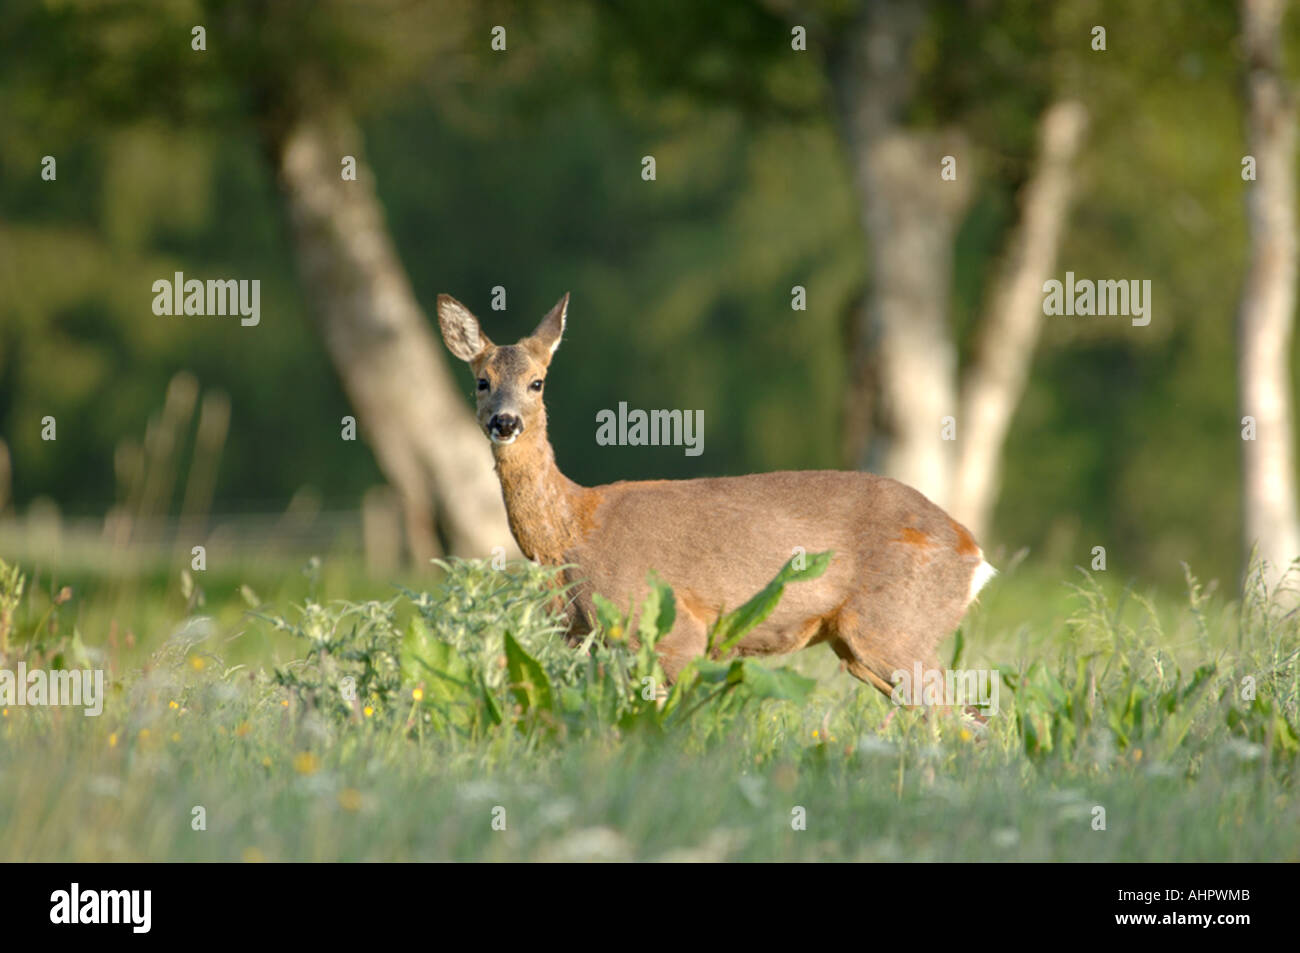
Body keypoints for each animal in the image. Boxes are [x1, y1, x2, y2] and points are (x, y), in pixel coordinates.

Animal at [437, 292, 996, 708]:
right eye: (482, 381)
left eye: (537, 382)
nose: (504, 421)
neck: (571, 531)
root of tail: (974, 553)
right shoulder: (584, 639)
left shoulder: (674, 632)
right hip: (861, 645)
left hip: (894, 626)